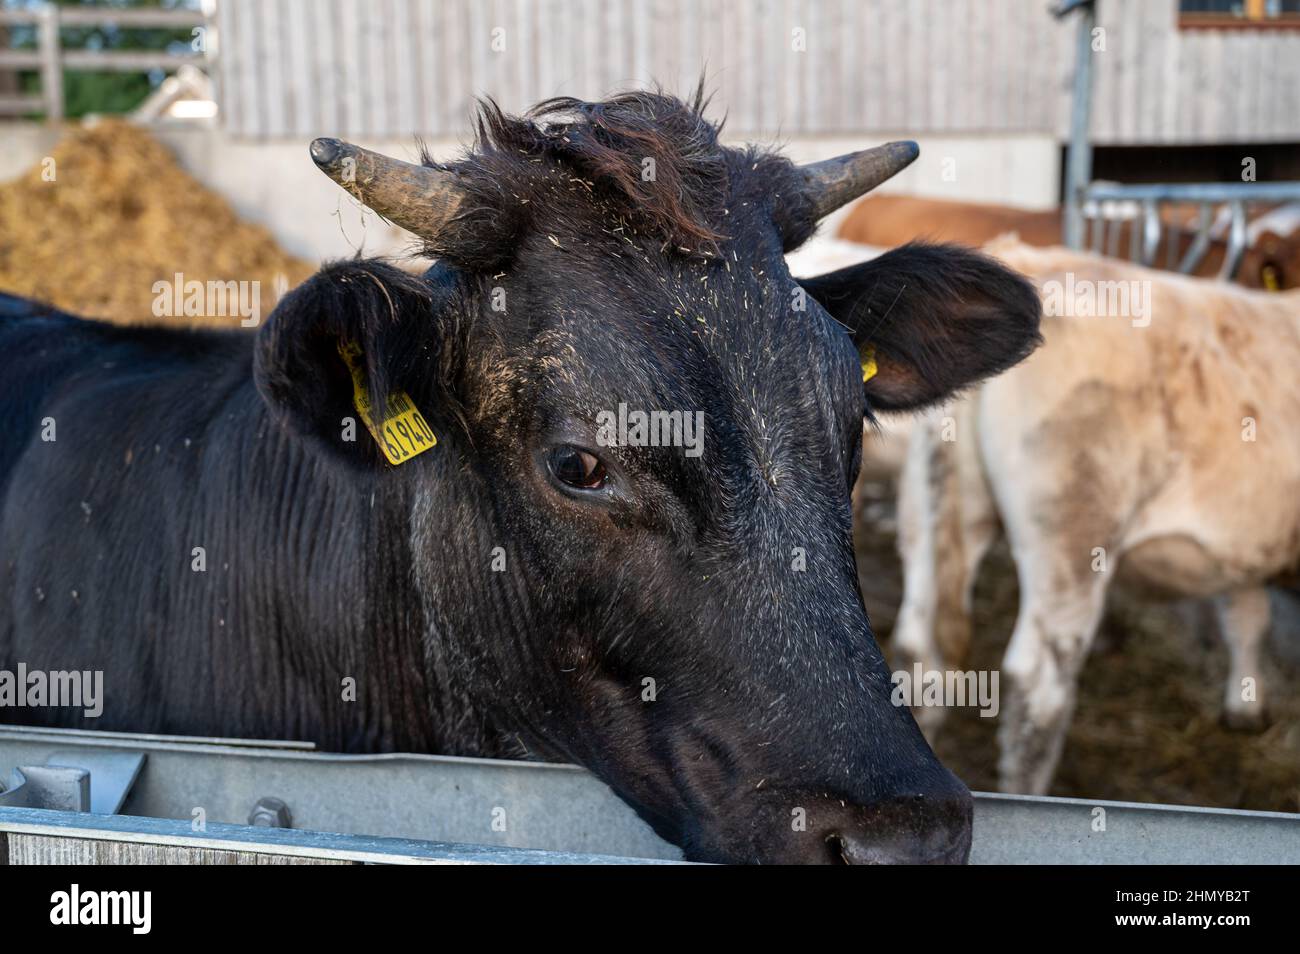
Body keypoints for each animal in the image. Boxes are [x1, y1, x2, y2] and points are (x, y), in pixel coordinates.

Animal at [891, 238, 1300, 795]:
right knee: (1037, 689)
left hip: (927, 518)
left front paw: (1245, 706)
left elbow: (1246, 613)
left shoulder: (1244, 541)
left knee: (917, 651)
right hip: (1072, 545)